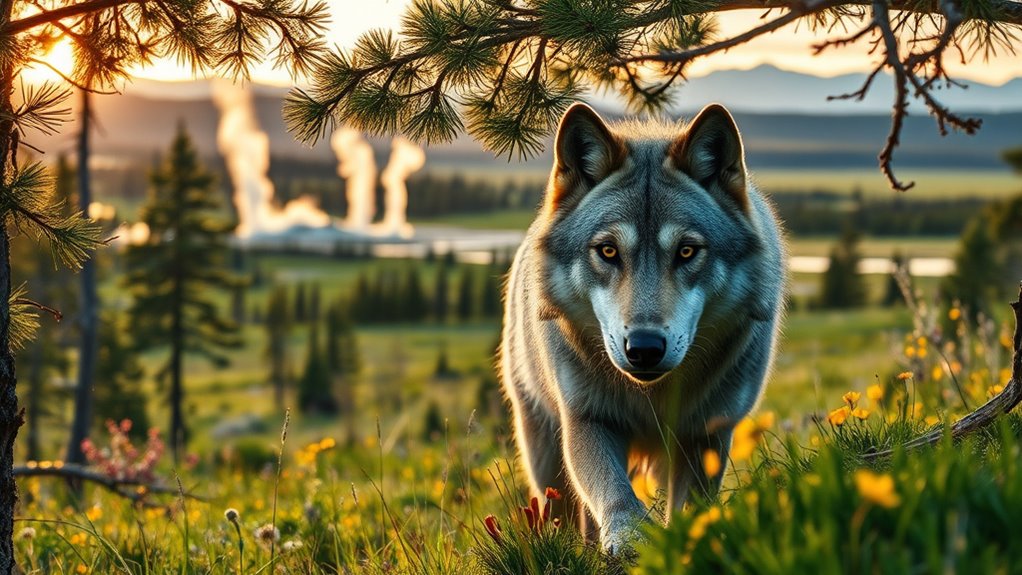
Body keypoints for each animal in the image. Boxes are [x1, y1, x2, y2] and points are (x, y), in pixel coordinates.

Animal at [499, 102, 786, 551]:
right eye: (608, 251)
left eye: (686, 251)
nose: (645, 348)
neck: (651, 395)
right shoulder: (587, 420)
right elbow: (613, 491)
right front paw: (629, 536)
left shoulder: (708, 433)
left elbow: (690, 507)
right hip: (543, 454)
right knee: (562, 510)